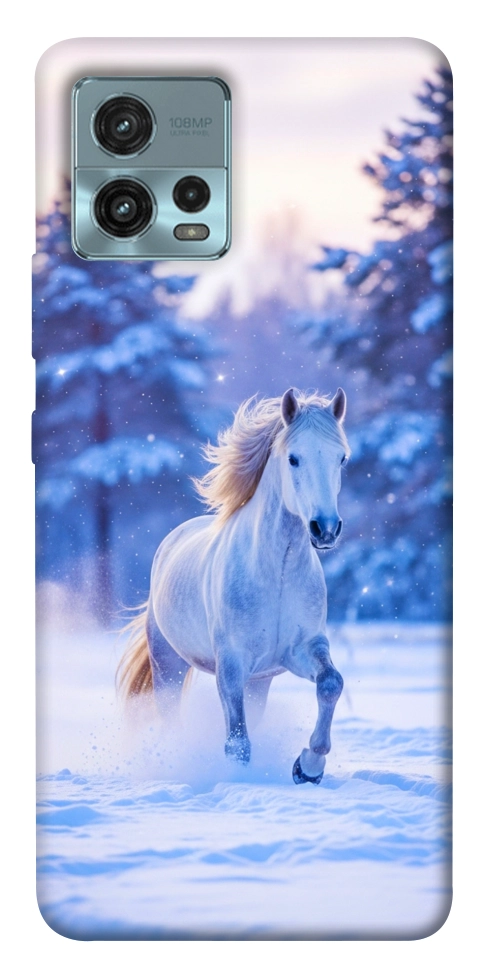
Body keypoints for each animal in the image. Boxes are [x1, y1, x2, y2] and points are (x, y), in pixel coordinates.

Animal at [118, 387, 350, 784]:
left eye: (341, 459)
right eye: (294, 458)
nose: (325, 529)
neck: (277, 573)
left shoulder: (301, 649)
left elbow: (331, 683)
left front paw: (308, 767)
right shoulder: (231, 663)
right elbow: (237, 742)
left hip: (259, 681)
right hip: (168, 665)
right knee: (171, 717)